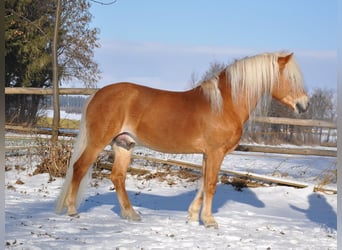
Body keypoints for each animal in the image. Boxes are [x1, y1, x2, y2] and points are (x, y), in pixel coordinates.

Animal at [55, 51, 308, 228]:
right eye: (291, 78)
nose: (304, 105)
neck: (224, 104)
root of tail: (97, 94)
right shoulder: (216, 153)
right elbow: (210, 185)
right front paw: (209, 221)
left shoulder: (207, 154)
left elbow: (203, 184)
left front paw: (193, 217)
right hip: (98, 142)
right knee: (79, 168)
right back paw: (72, 210)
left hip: (123, 144)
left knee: (117, 177)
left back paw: (131, 214)